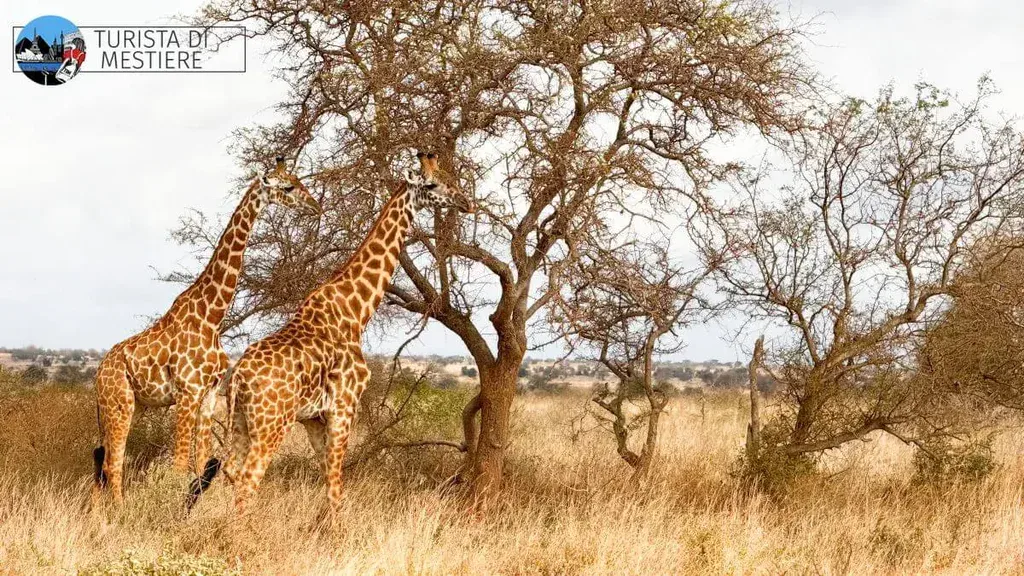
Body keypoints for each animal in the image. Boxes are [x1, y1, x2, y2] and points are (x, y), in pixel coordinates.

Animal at [92, 157, 321, 504]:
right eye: (288, 187)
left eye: (297, 180)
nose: (316, 207)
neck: (212, 316)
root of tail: (97, 376)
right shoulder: (187, 393)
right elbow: (179, 466)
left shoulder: (210, 395)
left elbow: (200, 464)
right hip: (120, 404)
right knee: (113, 465)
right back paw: (117, 512)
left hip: (126, 406)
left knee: (102, 465)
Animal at [193, 152, 473, 518]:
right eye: (432, 185)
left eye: (450, 176)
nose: (466, 202)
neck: (356, 311)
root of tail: (239, 376)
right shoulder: (344, 406)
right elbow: (337, 484)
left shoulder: (314, 419)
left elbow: (328, 478)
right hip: (272, 424)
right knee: (247, 480)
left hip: (241, 420)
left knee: (230, 471)